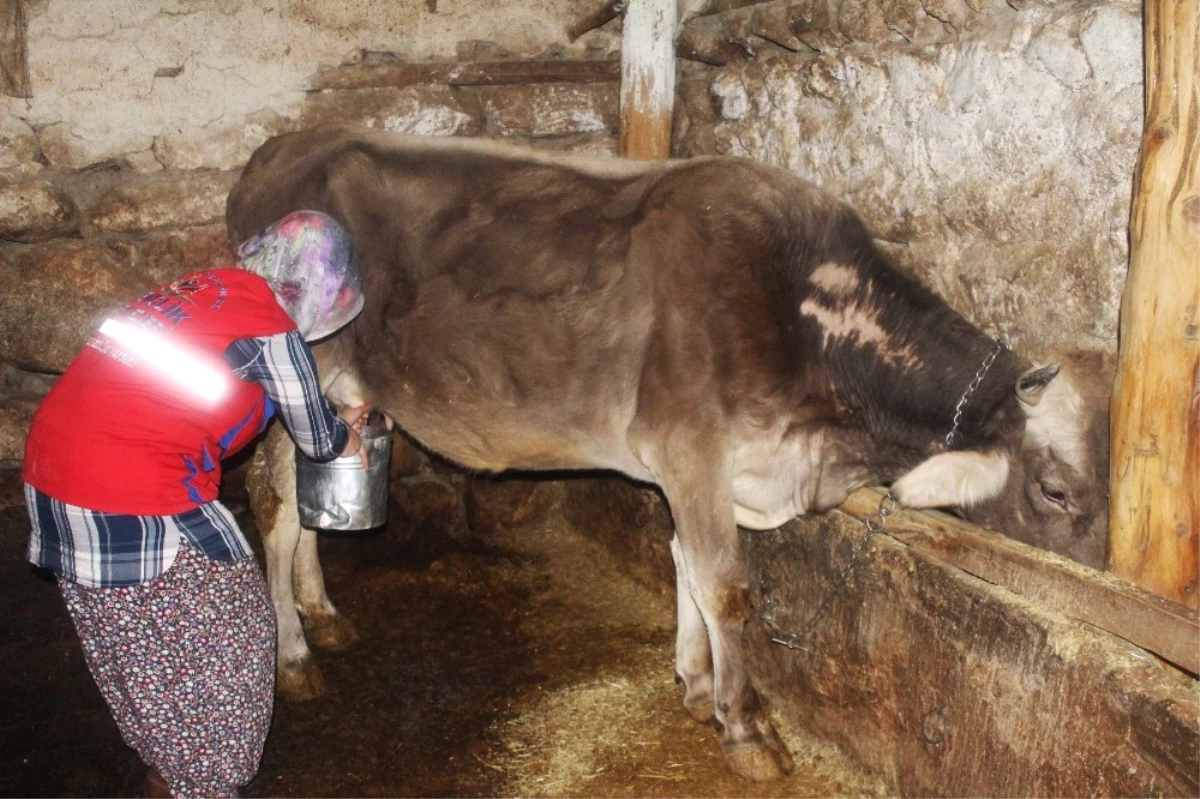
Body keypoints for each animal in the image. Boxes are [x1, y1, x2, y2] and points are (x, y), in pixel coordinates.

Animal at [226, 124, 1104, 777]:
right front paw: (747, 725)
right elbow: (726, 586)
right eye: (1057, 491)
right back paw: (295, 656)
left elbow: (685, 562)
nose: (1102, 582)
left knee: (308, 499)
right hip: (297, 373)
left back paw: (323, 610)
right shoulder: (691, 449)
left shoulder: (711, 469)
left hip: (340, 390)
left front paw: (695, 680)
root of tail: (283, 147)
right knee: (273, 506)